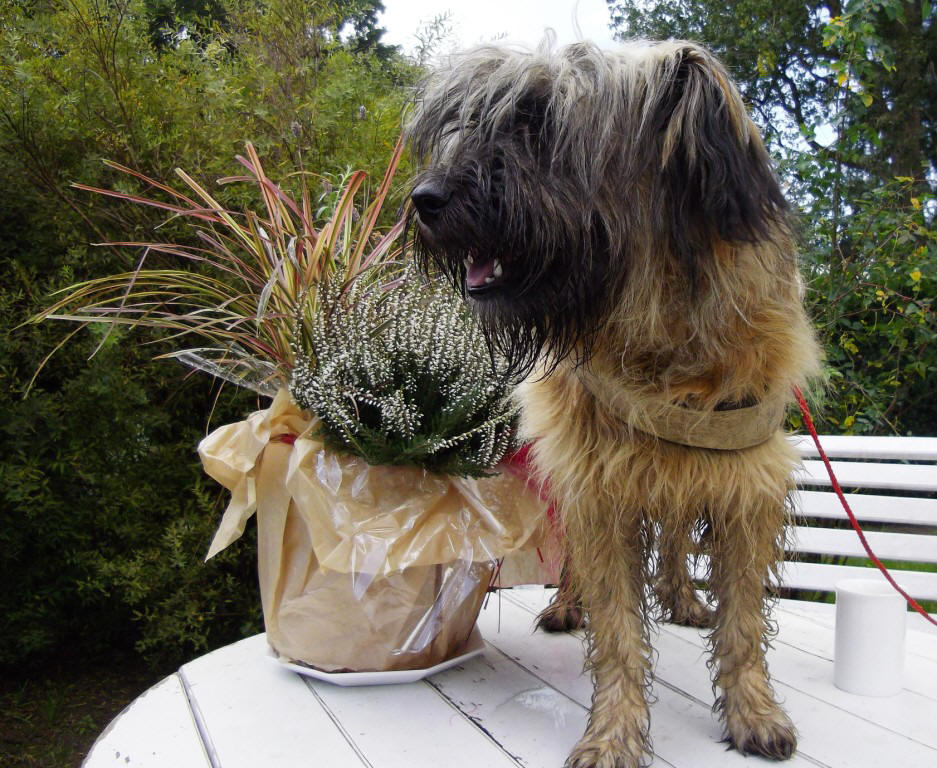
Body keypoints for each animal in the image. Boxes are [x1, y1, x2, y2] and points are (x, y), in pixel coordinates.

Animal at [402, 37, 820, 768]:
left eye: (540, 125)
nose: (425, 198)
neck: (663, 333)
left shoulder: (747, 482)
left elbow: (742, 622)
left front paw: (754, 712)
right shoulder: (599, 485)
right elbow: (618, 625)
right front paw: (614, 733)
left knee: (677, 536)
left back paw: (682, 598)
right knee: (580, 558)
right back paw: (569, 605)